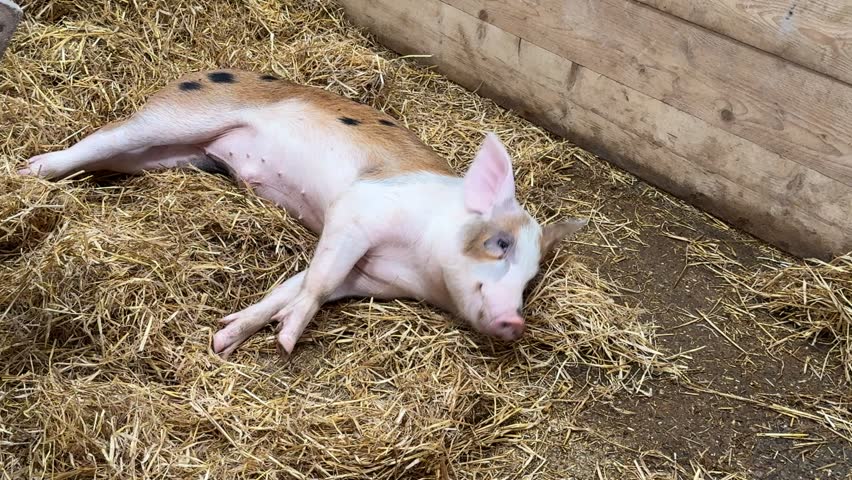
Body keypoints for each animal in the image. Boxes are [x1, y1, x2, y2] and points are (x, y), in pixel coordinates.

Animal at [20, 69, 588, 358]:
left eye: (532, 279)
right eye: (500, 244)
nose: (515, 320)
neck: (418, 267)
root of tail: (201, 72)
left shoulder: (367, 276)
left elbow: (297, 284)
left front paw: (225, 339)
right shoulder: (359, 211)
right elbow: (318, 280)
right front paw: (286, 341)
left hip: (174, 154)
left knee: (112, 158)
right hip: (176, 115)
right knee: (103, 136)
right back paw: (30, 171)